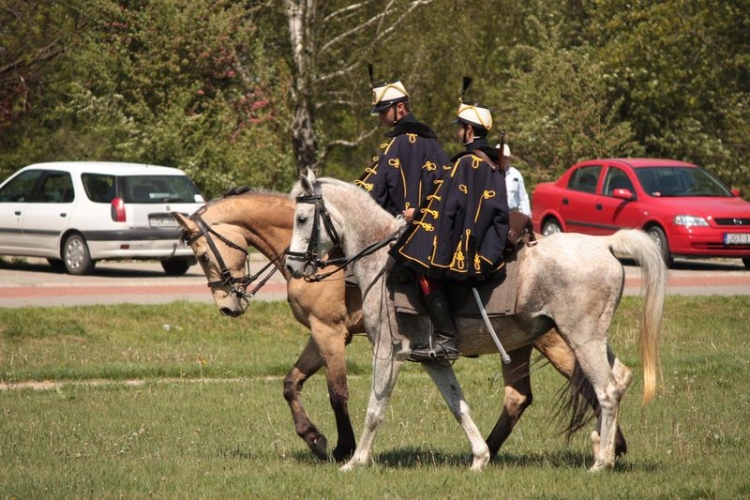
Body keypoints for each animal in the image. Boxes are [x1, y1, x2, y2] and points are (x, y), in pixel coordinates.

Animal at [173, 188, 632, 464]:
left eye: (201, 252)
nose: (228, 305)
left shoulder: (329, 333)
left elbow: (337, 392)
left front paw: (343, 446)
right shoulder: (322, 335)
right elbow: (291, 383)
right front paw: (314, 438)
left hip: (562, 340)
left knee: (598, 384)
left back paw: (607, 446)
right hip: (523, 344)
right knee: (529, 396)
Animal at [284, 170, 668, 470]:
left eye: (302, 219)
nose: (291, 266)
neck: (381, 258)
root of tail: (605, 245)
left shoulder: (387, 352)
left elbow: (375, 408)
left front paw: (356, 460)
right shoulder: (433, 361)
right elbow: (458, 406)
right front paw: (480, 457)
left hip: (581, 341)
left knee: (606, 392)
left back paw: (601, 461)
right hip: (590, 341)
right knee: (619, 379)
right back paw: (604, 446)